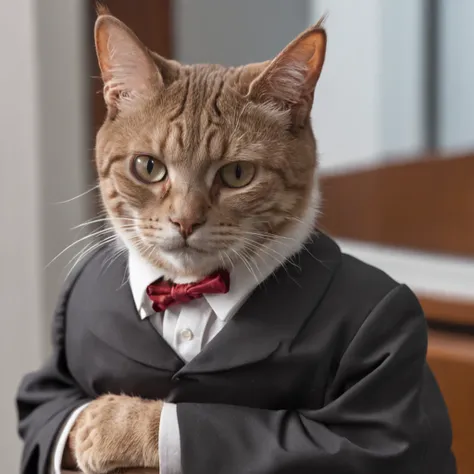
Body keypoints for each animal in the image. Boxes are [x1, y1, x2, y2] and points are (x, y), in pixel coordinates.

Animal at [65, 6, 326, 474]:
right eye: (148, 167)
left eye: (237, 174)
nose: (184, 221)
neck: (191, 291)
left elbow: (200, 421)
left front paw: (110, 421)